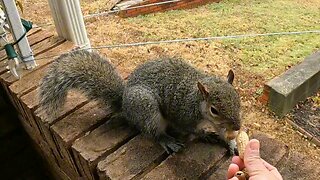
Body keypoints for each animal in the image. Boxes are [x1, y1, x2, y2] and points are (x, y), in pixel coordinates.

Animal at [37, 50, 241, 154]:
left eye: (238, 100)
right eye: (214, 109)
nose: (238, 127)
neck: (197, 101)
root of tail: (124, 104)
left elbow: (223, 132)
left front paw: (230, 143)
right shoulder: (183, 114)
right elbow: (190, 129)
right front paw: (205, 134)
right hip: (146, 108)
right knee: (153, 132)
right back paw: (167, 140)